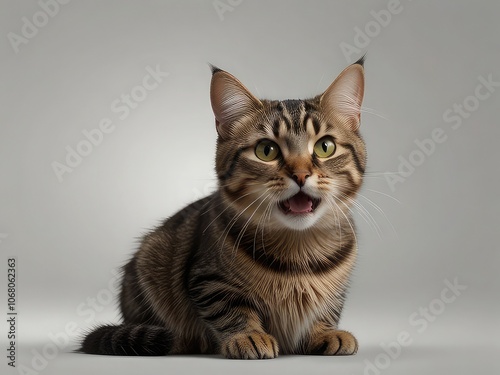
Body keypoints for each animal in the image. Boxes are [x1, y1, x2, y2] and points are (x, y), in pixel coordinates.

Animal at [79, 57, 368, 360]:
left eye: (325, 147)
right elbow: (231, 309)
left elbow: (328, 308)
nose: (300, 175)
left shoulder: (337, 291)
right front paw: (248, 336)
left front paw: (324, 332)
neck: (299, 249)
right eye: (266, 150)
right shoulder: (209, 281)